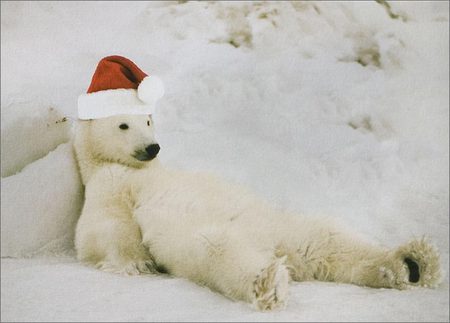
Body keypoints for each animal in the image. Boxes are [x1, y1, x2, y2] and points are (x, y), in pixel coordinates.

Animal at [73, 113, 440, 312]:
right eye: (123, 125)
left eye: (148, 120)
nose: (152, 147)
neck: (135, 168)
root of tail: (276, 248)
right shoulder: (109, 183)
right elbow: (100, 228)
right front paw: (137, 263)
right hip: (205, 237)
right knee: (218, 249)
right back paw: (270, 284)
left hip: (285, 226)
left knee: (328, 240)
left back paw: (413, 264)